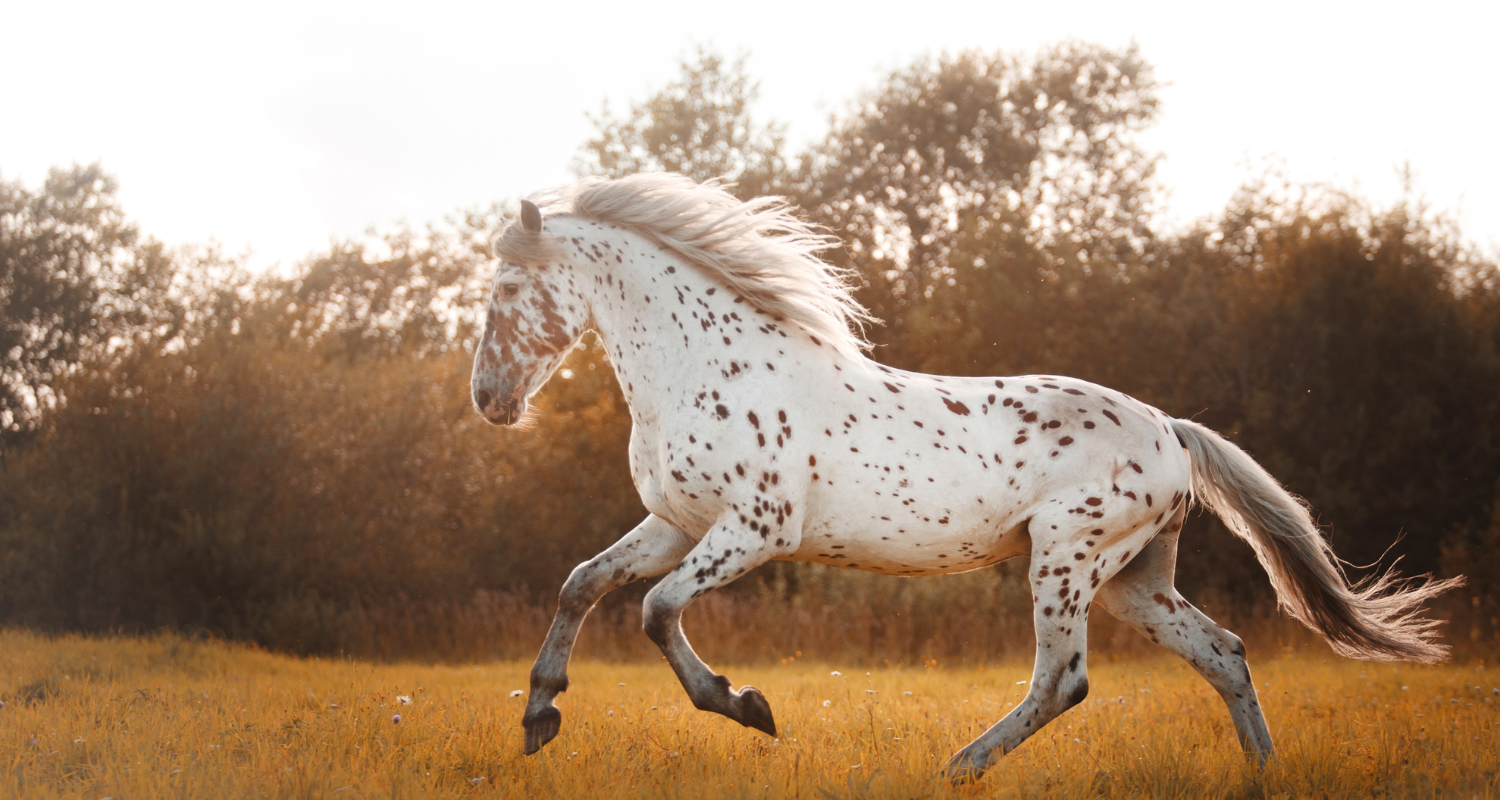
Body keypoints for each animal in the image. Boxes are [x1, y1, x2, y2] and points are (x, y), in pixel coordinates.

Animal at [474, 173, 1458, 780]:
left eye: (507, 292)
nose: (488, 400)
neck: (706, 365)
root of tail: (1171, 432)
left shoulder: (754, 529)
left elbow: (654, 610)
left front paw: (748, 707)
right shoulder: (677, 522)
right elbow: (583, 584)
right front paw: (539, 719)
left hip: (1066, 559)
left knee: (1062, 681)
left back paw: (955, 767)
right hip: (1135, 580)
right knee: (1224, 653)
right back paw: (1260, 774)